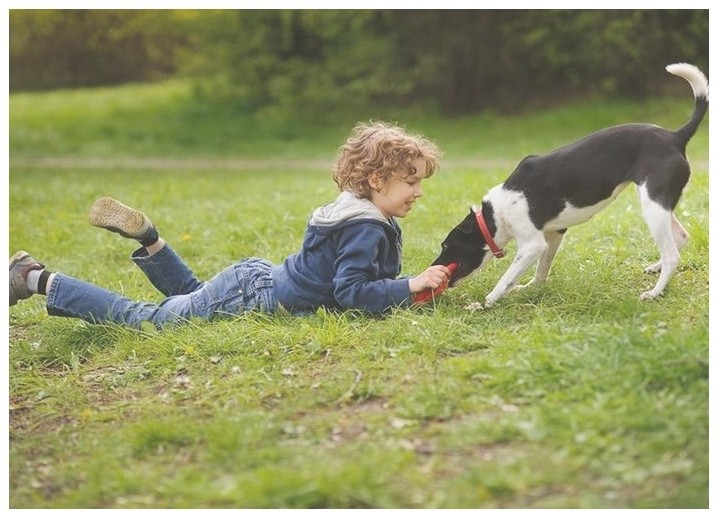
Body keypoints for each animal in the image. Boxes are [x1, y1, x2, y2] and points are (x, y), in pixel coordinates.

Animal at [434, 63, 708, 310]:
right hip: (658, 204)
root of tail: (675, 137)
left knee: (672, 254)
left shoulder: (532, 245)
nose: (433, 267)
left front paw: (485, 303)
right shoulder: (554, 234)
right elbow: (542, 270)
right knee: (680, 237)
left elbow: (505, 280)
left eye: (446, 246)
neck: (495, 215)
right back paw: (655, 267)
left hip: (652, 206)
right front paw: (532, 287)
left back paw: (654, 292)